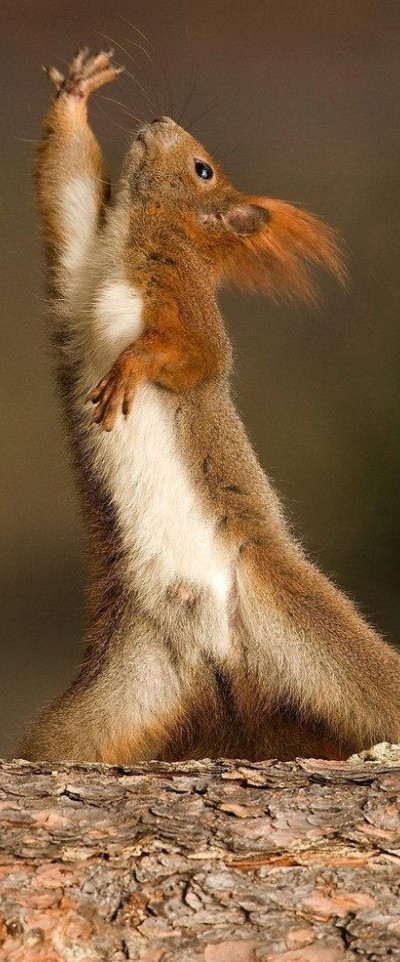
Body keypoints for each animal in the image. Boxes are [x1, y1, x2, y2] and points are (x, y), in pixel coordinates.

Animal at [20, 48, 400, 764]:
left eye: (203, 170)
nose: (160, 122)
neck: (131, 243)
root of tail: (219, 655)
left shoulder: (186, 305)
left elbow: (192, 354)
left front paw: (132, 367)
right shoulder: (78, 266)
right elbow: (66, 192)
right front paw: (77, 94)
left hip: (316, 631)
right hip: (110, 698)